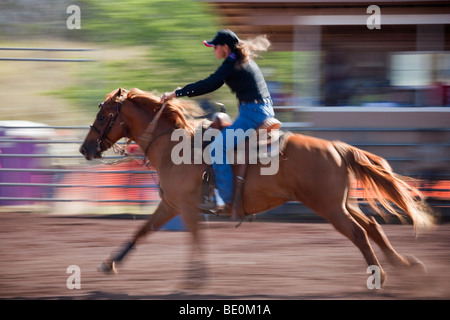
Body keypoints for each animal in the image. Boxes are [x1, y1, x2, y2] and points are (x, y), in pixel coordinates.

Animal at [81, 87, 436, 288]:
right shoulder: (171, 206)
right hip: (343, 203)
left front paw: (195, 278)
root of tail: (336, 147)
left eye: (102, 115)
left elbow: (195, 240)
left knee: (360, 233)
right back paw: (405, 265)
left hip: (330, 208)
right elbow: (142, 230)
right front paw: (110, 263)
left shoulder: (187, 208)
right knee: (373, 226)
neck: (173, 146)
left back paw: (381, 276)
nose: (85, 149)